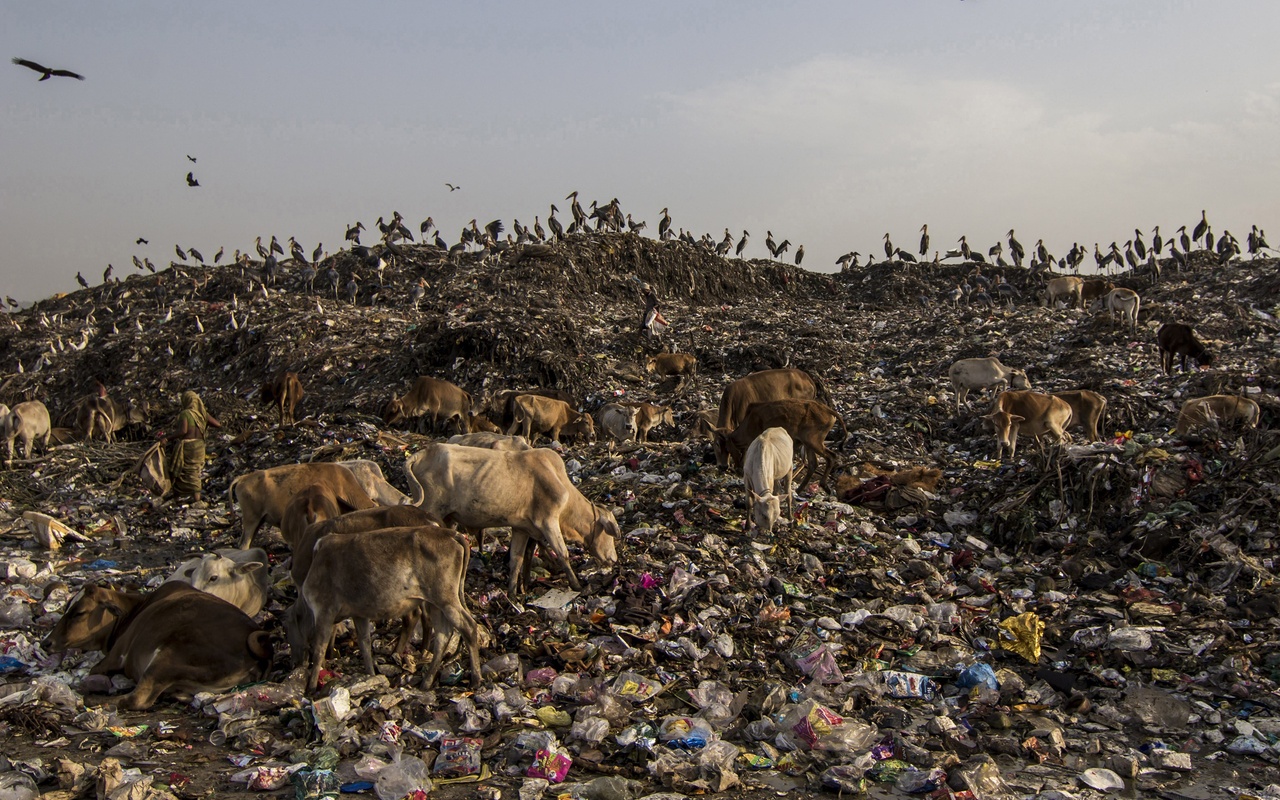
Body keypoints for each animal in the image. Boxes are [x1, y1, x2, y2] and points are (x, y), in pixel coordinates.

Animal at [46, 581, 271, 711]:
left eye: (79, 612)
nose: (46, 642)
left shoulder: (118, 653)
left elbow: (95, 669)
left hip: (165, 660)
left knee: (136, 699)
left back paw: (92, 700)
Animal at [294, 527, 483, 691]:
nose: (295, 663)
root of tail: (452, 534)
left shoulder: (324, 611)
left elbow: (319, 649)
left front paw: (311, 686)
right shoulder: (359, 614)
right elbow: (364, 644)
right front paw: (371, 676)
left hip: (445, 598)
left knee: (468, 627)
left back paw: (476, 679)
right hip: (435, 604)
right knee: (443, 636)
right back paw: (427, 681)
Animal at [401, 442, 616, 593]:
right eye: (610, 533)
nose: (614, 558)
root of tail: (423, 453)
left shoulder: (522, 528)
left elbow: (517, 559)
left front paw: (513, 592)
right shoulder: (548, 522)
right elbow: (563, 554)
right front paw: (577, 585)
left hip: (447, 518)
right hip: (430, 509)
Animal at [711, 396, 849, 486]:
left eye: (724, 447)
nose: (723, 466)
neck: (749, 422)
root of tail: (829, 411)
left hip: (813, 441)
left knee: (831, 456)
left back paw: (824, 485)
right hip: (808, 443)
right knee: (813, 463)